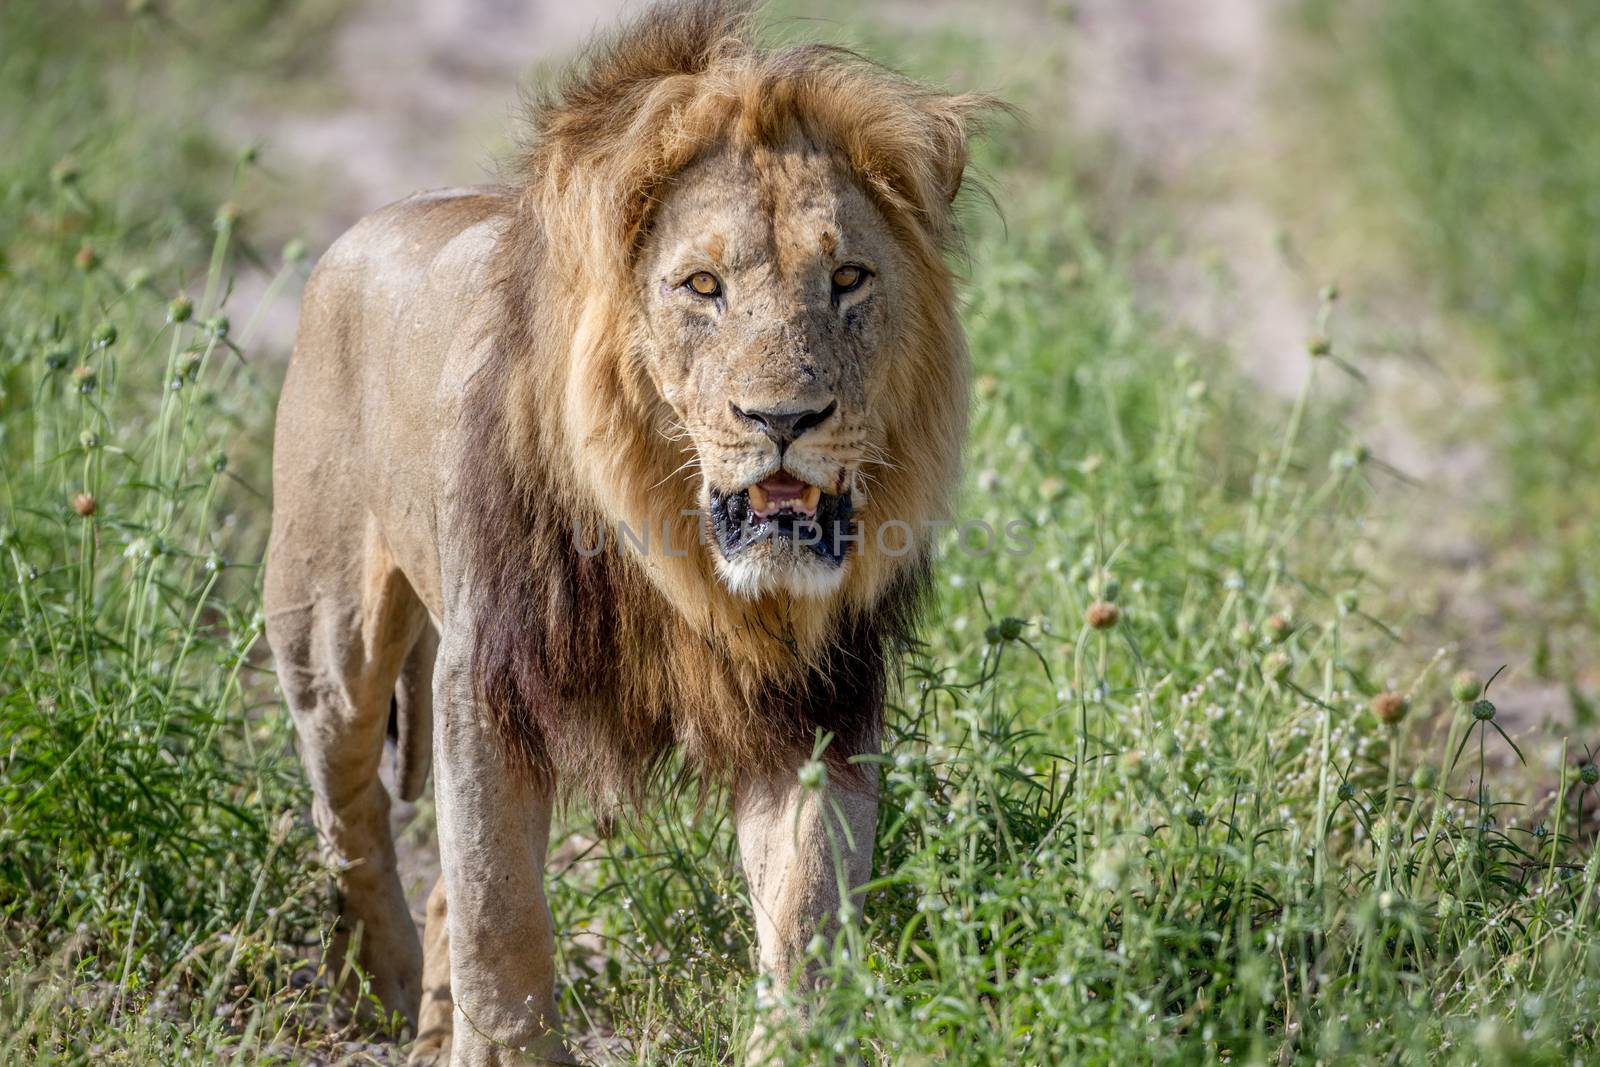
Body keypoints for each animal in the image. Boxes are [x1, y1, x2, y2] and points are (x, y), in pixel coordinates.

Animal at [265, 4, 985, 1062]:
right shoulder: (482, 679)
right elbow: (500, 907)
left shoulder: (816, 702)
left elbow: (807, 908)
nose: (783, 418)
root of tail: (364, 226)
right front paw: (508, 1053)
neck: (678, 552)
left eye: (849, 278)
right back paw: (381, 990)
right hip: (327, 631)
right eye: (702, 286)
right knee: (348, 810)